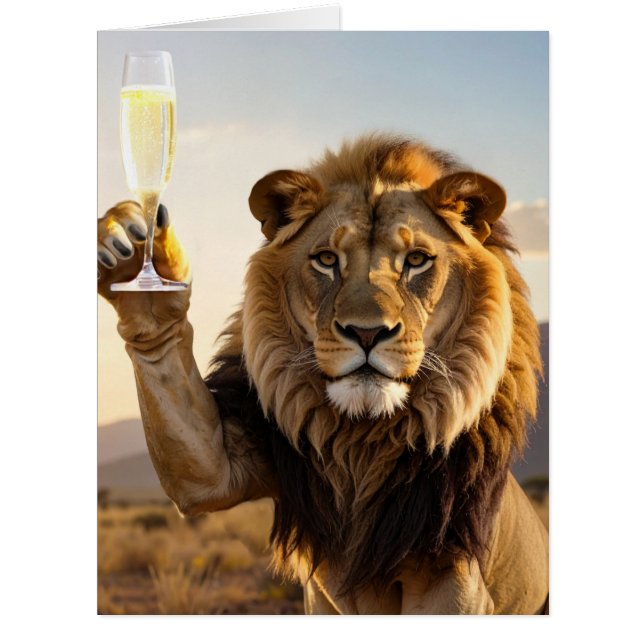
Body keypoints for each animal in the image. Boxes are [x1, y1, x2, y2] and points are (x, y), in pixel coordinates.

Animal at [97, 134, 548, 614]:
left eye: (417, 260)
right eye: (327, 260)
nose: (367, 332)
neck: (364, 438)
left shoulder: (451, 567)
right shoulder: (227, 463)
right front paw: (130, 257)